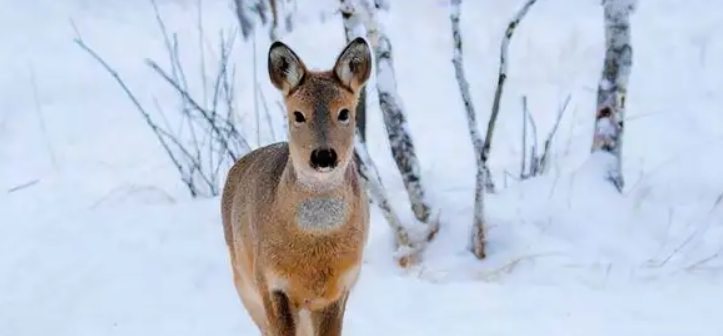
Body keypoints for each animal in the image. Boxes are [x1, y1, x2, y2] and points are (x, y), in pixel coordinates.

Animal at [219, 37, 374, 336]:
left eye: (344, 113)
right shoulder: (270, 282)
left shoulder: (339, 289)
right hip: (244, 284)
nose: (324, 155)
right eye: (298, 115)